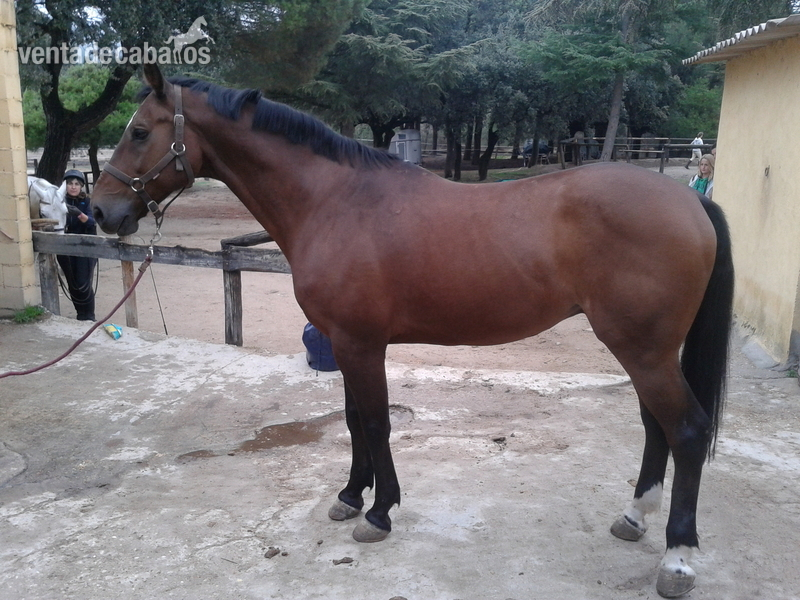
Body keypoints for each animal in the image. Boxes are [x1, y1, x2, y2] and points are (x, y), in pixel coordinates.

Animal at [91, 64, 734, 599]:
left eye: (139, 132)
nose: (100, 212)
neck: (334, 201)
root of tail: (689, 201)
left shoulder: (360, 344)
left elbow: (376, 423)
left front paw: (380, 513)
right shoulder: (343, 342)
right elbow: (354, 421)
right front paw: (351, 498)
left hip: (644, 350)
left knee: (687, 430)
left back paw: (677, 558)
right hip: (646, 350)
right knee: (656, 426)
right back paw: (634, 516)